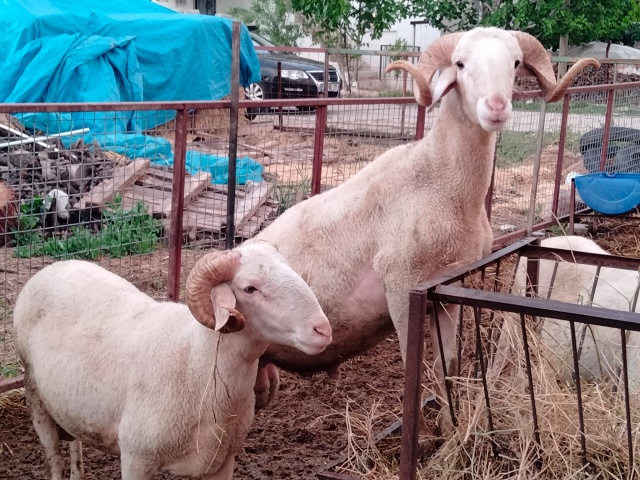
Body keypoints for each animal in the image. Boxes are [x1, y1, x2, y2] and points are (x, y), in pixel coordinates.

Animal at [13, 246, 332, 478]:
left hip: (68, 405)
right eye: (250, 288)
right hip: (35, 395)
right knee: (54, 459)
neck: (196, 364)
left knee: (75, 447)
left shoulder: (221, 461)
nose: (323, 330)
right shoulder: (136, 460)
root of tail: (54, 266)